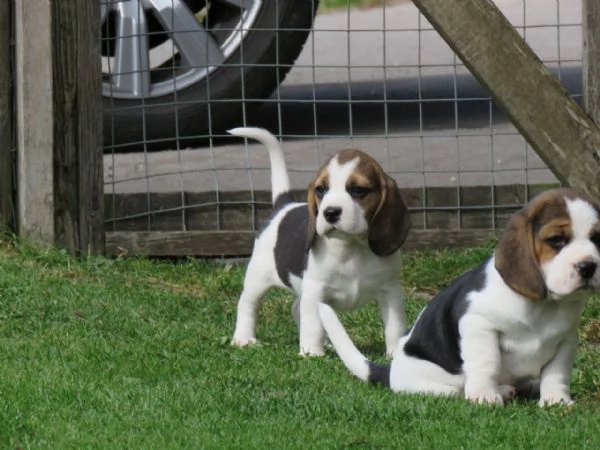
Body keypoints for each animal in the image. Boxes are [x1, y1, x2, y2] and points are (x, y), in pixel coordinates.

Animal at [227, 128, 410, 356]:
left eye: (358, 190)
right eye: (321, 189)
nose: (330, 212)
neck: (351, 248)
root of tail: (283, 205)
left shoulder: (390, 291)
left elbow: (394, 326)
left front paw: (395, 354)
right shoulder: (315, 291)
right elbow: (313, 325)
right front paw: (312, 354)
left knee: (296, 308)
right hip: (258, 278)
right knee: (247, 305)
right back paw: (244, 339)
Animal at [318, 188, 600, 406]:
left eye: (596, 238)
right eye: (557, 240)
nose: (588, 266)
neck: (543, 305)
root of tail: (391, 373)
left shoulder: (566, 338)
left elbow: (557, 372)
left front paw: (556, 400)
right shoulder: (478, 324)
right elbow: (487, 363)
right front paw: (485, 396)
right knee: (457, 389)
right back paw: (501, 390)